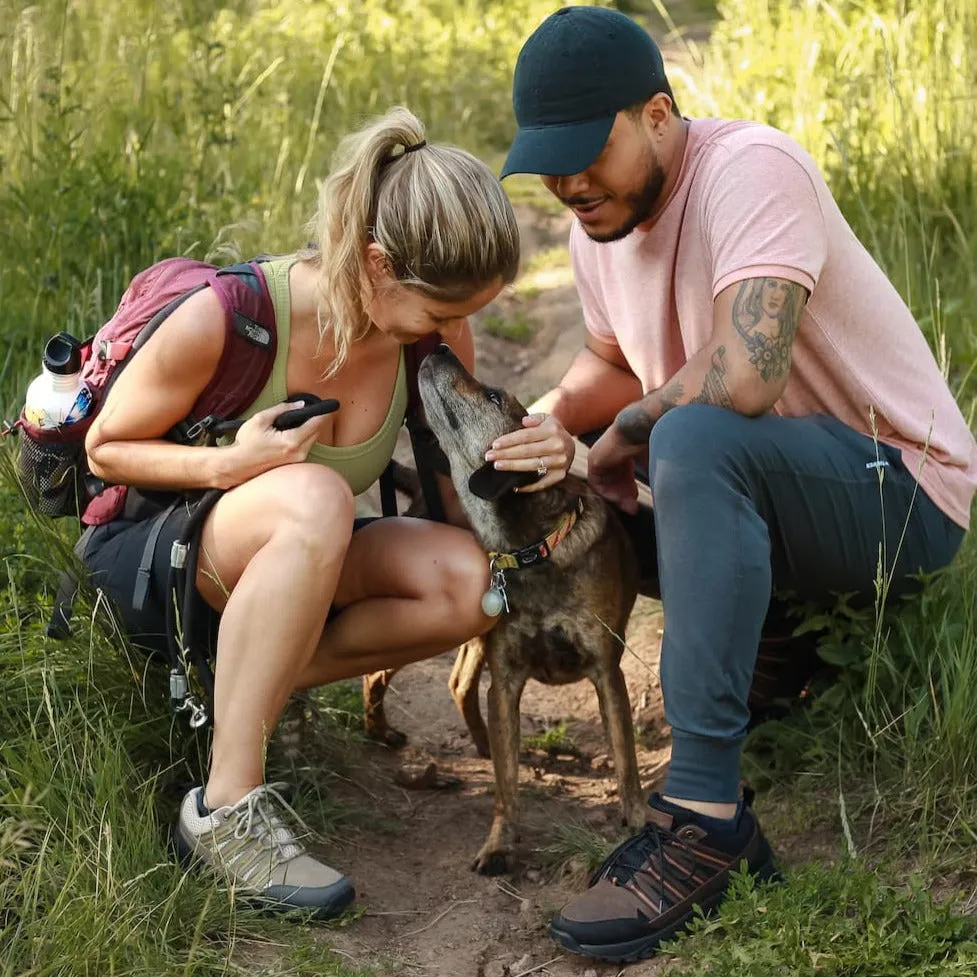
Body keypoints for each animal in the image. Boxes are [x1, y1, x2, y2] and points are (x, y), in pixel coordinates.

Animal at [390, 346, 648, 876]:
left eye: (492, 395)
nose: (440, 347)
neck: (528, 549)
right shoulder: (505, 680)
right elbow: (506, 784)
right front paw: (499, 844)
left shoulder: (606, 672)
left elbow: (625, 758)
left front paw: (635, 820)